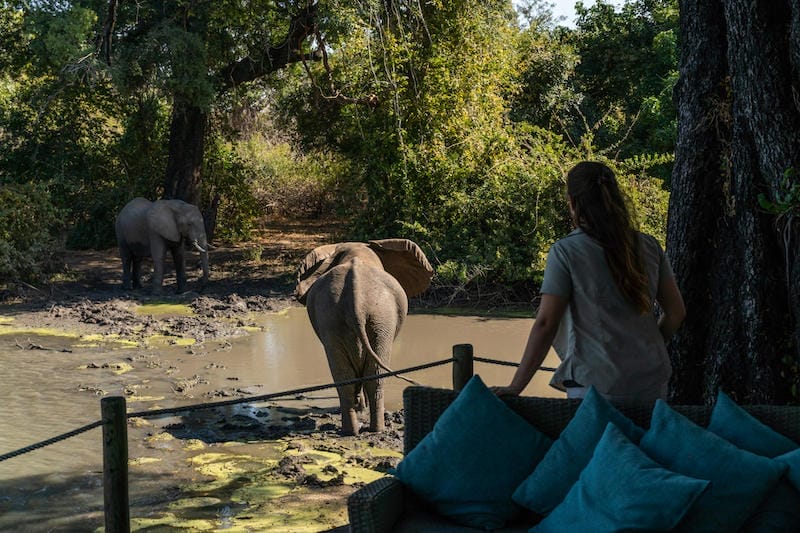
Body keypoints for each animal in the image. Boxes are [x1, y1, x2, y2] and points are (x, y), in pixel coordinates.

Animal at [294, 239, 432, 434]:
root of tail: (356, 301)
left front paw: (361, 407)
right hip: (379, 318)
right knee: (372, 375)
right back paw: (370, 429)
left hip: (341, 319)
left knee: (351, 378)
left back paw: (357, 431)